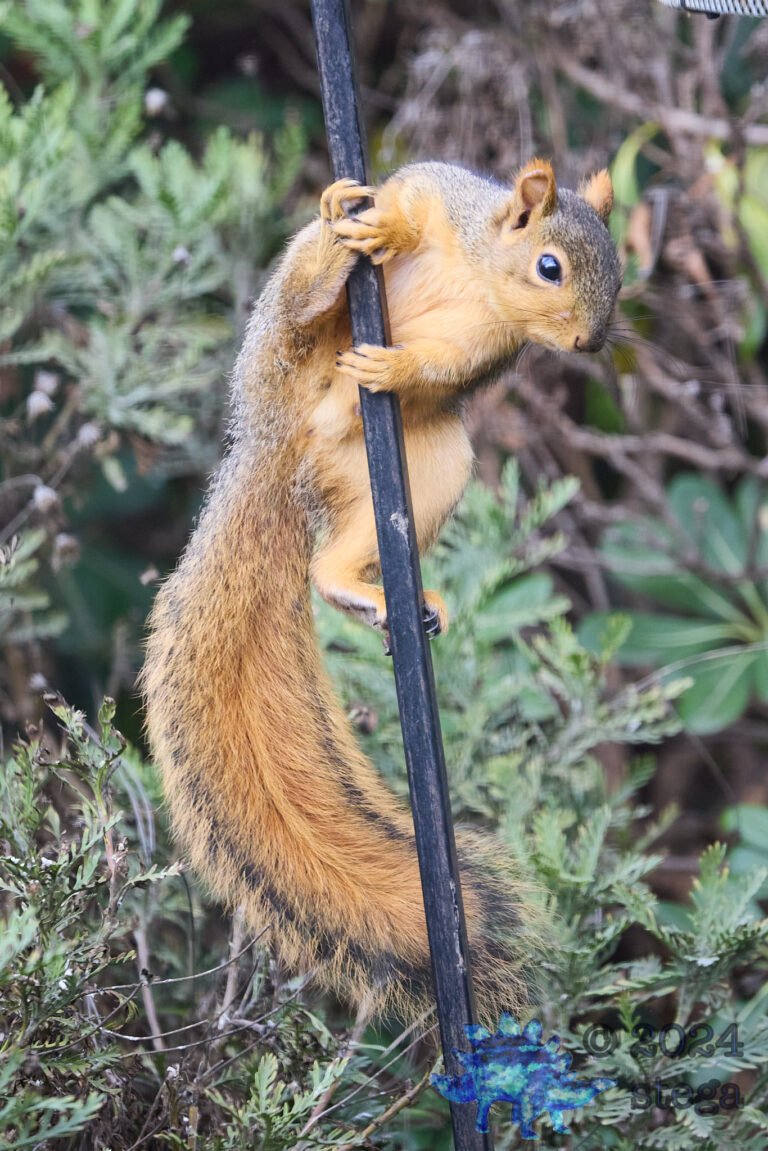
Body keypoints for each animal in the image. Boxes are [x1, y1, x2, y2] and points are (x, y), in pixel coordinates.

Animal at [143, 158, 621, 1022]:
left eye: (621, 274)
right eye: (551, 267)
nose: (586, 342)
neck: (482, 272)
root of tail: (278, 451)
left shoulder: (481, 347)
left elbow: (442, 365)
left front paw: (397, 368)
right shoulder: (438, 191)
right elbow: (408, 196)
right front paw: (386, 228)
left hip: (433, 463)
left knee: (333, 559)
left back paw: (365, 586)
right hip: (283, 348)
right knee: (302, 309)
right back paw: (335, 253)